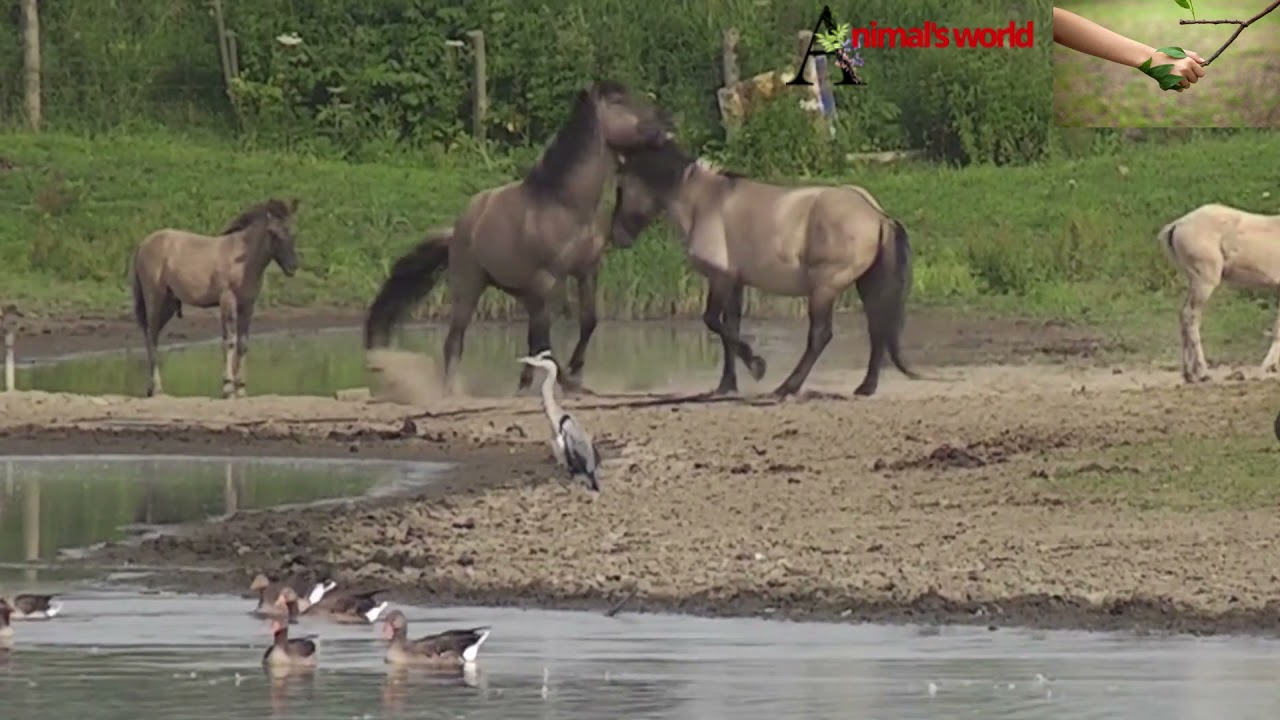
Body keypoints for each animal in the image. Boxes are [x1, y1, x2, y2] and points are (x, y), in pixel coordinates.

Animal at [130, 198, 300, 399]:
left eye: (292, 231)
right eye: (272, 232)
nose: (292, 267)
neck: (243, 260)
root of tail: (143, 244)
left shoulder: (248, 305)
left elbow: (243, 343)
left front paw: (241, 387)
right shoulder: (227, 300)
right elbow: (229, 341)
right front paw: (227, 387)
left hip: (169, 305)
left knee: (151, 337)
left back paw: (151, 388)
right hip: (155, 299)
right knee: (152, 338)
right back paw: (156, 388)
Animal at [363, 80, 672, 393]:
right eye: (619, 101)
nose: (665, 122)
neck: (566, 206)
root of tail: (459, 229)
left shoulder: (586, 271)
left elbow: (587, 322)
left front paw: (575, 370)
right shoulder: (546, 281)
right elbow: (547, 341)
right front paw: (570, 381)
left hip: (521, 293)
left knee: (529, 339)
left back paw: (523, 383)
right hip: (470, 289)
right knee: (455, 343)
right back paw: (452, 390)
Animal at [608, 140, 918, 398]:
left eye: (621, 189)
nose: (616, 236)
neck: (704, 202)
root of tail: (876, 215)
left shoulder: (720, 278)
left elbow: (713, 322)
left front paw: (757, 366)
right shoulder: (735, 282)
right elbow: (729, 328)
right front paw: (726, 385)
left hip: (824, 287)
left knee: (820, 336)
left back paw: (787, 387)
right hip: (867, 283)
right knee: (877, 329)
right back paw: (866, 387)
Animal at [1159, 203, 1280, 383]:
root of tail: (1177, 225)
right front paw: (1267, 367)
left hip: (1193, 280)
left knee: (1183, 315)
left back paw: (1189, 374)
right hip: (1204, 281)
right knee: (1190, 316)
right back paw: (1201, 371)